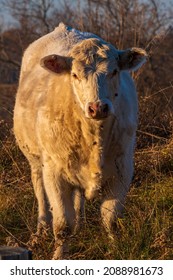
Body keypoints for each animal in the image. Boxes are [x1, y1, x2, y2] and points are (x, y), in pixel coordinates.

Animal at [13, 23, 147, 260]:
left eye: (114, 71)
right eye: (74, 75)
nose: (97, 107)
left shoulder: (122, 169)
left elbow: (110, 219)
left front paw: (116, 250)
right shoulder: (54, 173)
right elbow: (62, 225)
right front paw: (58, 257)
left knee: (79, 199)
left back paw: (81, 225)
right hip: (35, 160)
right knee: (40, 193)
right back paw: (40, 231)